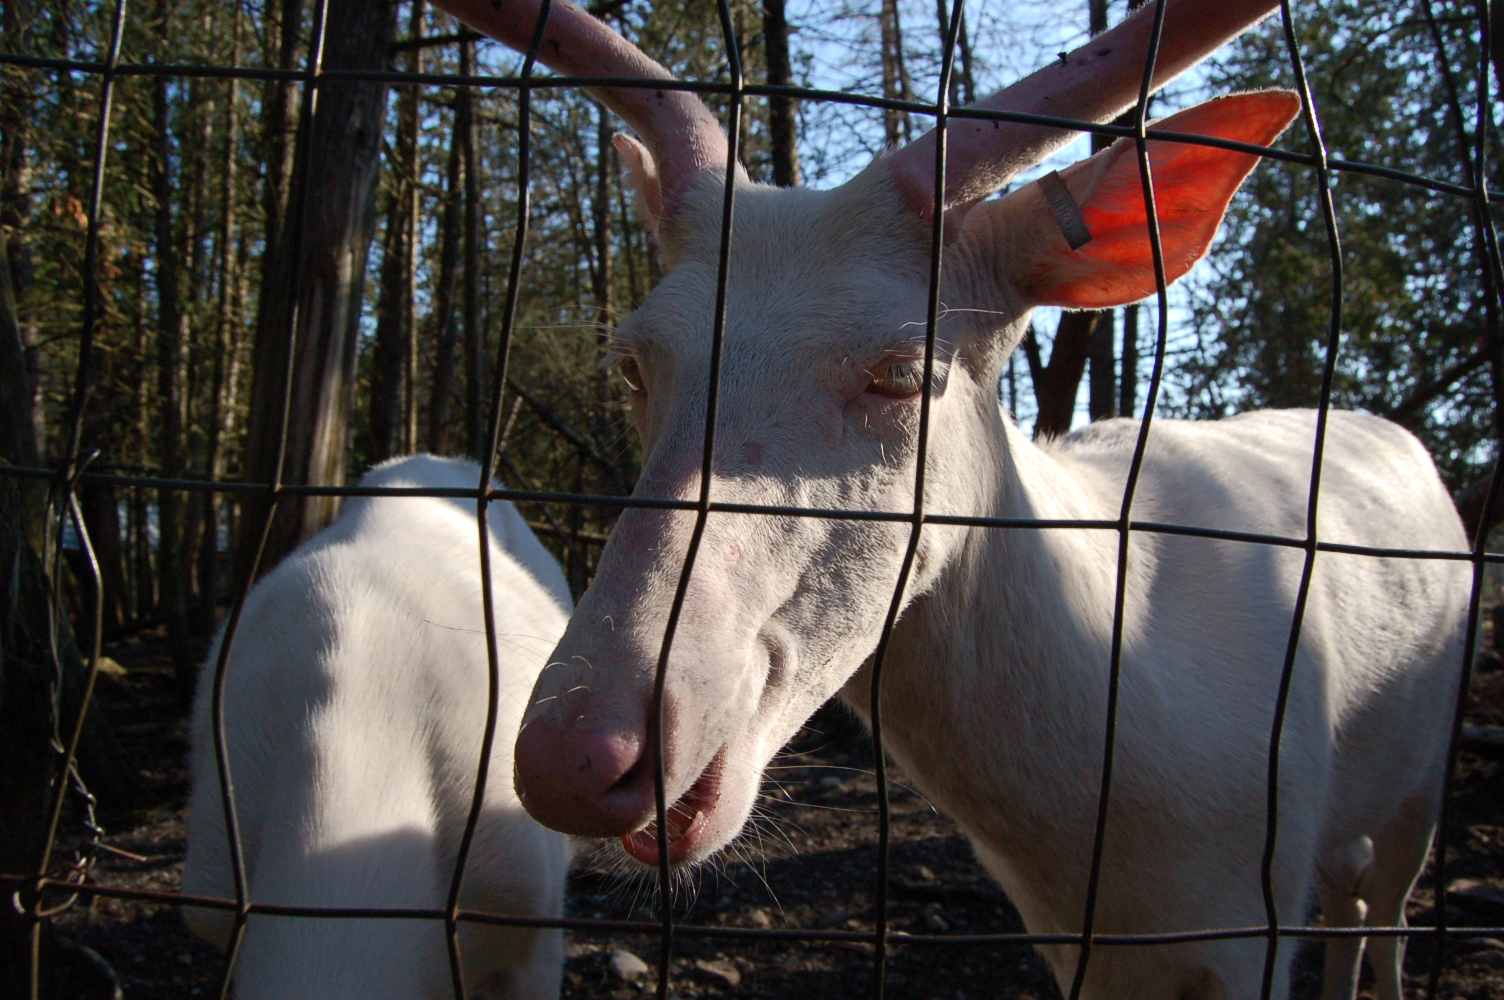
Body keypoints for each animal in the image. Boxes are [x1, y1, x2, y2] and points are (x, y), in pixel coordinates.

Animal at [430, 3, 1461, 992]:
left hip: (1426, 773)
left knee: (1389, 905)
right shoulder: (1077, 942)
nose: (574, 757)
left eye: (902, 372)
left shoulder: (1255, 916)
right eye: (633, 362)